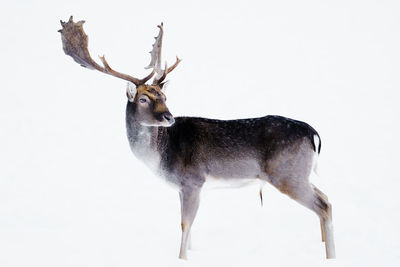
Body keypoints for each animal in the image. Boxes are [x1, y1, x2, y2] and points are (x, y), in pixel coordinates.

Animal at [58, 16, 334, 260]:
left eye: (164, 97)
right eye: (144, 98)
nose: (169, 117)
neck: (160, 157)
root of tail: (313, 133)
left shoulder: (193, 180)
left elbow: (185, 224)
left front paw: (181, 258)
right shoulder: (183, 187)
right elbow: (187, 226)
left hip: (286, 173)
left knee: (324, 205)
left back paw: (330, 254)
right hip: (300, 173)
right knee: (326, 196)